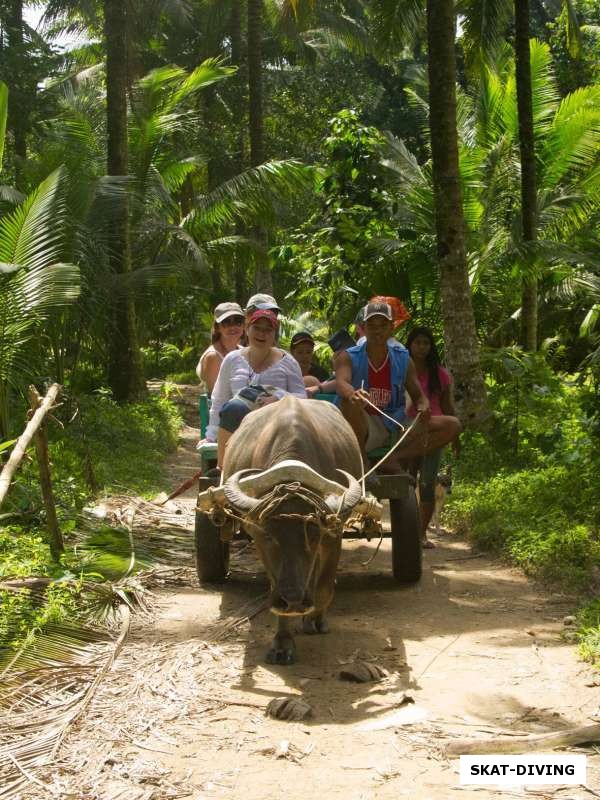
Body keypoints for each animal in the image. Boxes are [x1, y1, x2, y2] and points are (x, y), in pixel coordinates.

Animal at [213, 396, 372, 664]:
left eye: (314, 534)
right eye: (268, 535)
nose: (295, 600)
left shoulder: (333, 534)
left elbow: (324, 587)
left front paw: (315, 619)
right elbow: (275, 586)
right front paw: (282, 643)